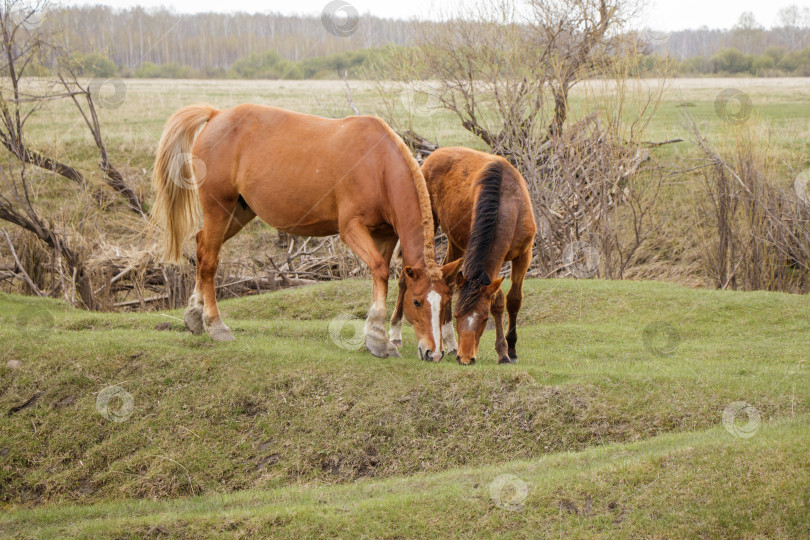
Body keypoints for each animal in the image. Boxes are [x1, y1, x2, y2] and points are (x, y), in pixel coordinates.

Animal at [151, 103, 454, 360]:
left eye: (445, 302)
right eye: (416, 302)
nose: (434, 353)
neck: (378, 166)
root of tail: (216, 115)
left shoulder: (385, 235)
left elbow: (380, 276)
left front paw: (378, 336)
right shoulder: (351, 229)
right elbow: (379, 270)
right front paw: (379, 340)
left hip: (237, 214)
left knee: (202, 248)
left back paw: (195, 313)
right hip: (219, 209)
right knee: (210, 261)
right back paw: (215, 325)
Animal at [390, 148, 536, 364]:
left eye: (484, 319)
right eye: (458, 316)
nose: (465, 358)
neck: (509, 205)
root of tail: (435, 154)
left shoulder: (524, 256)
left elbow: (513, 300)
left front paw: (510, 350)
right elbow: (498, 300)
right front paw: (502, 351)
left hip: (455, 245)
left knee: (447, 282)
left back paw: (449, 343)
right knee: (404, 278)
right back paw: (395, 333)